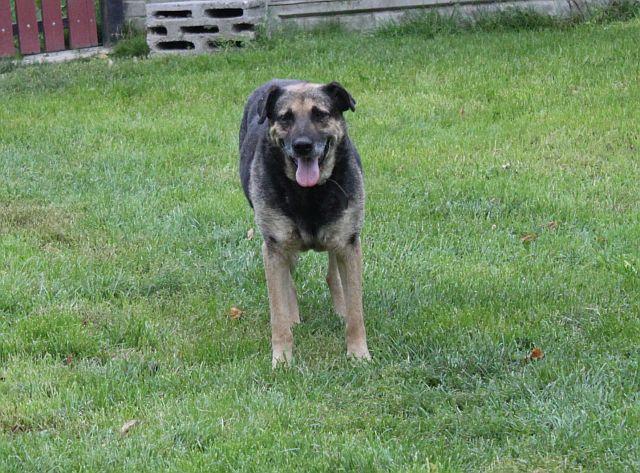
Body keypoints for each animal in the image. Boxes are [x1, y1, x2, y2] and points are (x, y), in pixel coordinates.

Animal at [239, 79, 371, 366]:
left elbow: (356, 310)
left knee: (333, 274)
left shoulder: (348, 243)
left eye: (320, 114)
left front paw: (358, 354)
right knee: (288, 280)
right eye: (285, 118)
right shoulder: (274, 247)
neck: (308, 193)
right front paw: (282, 359)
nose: (302, 146)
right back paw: (294, 316)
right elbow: (278, 313)